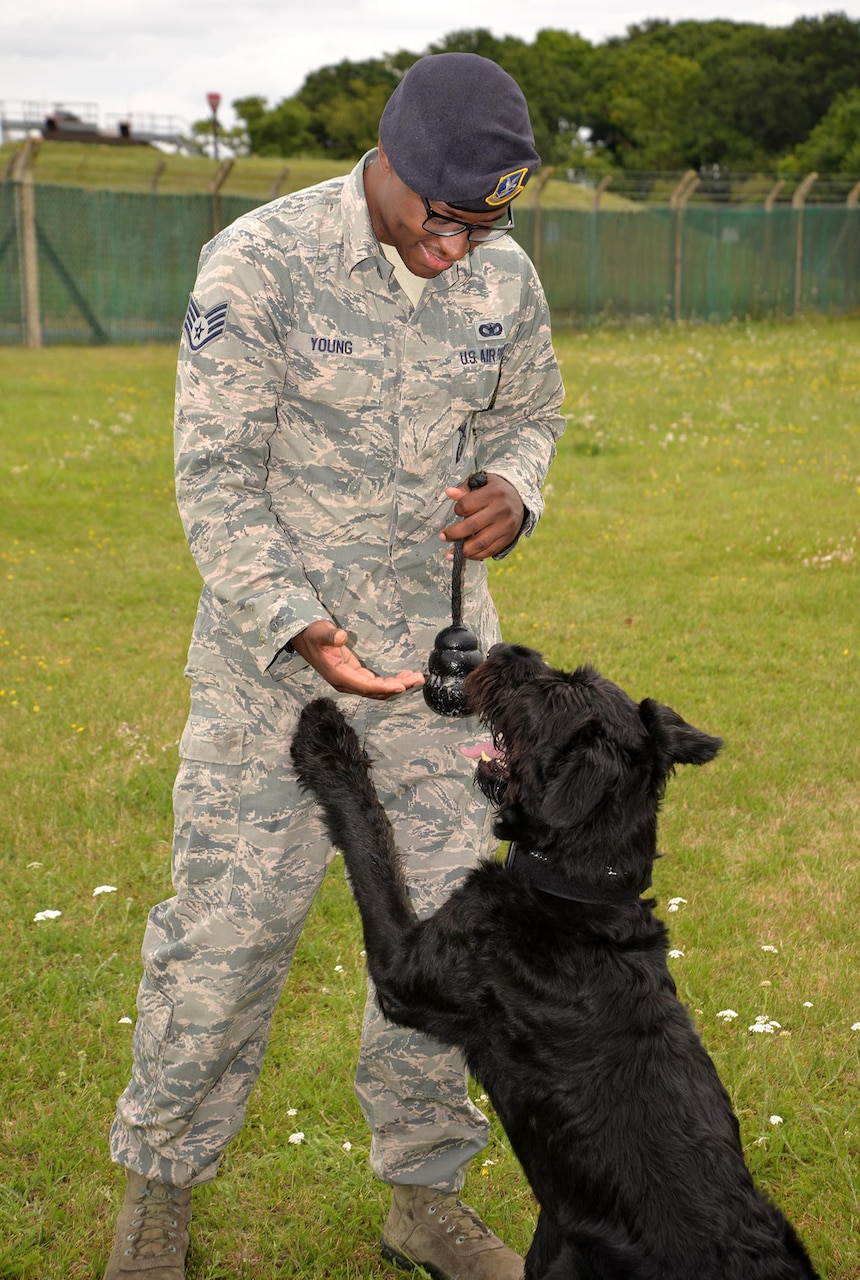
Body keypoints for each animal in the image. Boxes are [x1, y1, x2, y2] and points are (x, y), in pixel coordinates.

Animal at [294, 650, 819, 1280]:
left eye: (553, 691)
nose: (506, 652)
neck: (578, 892)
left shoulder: (406, 969)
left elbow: (373, 841)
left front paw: (327, 739)